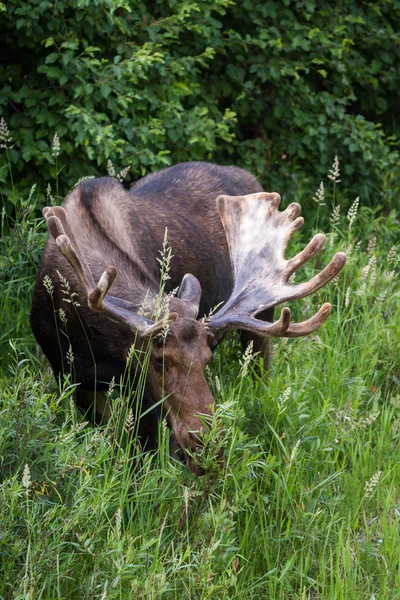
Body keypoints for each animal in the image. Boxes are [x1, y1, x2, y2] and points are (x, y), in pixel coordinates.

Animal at [31, 162, 346, 476]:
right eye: (159, 361)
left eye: (206, 358)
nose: (209, 444)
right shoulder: (71, 376)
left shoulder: (142, 394)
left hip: (261, 325)